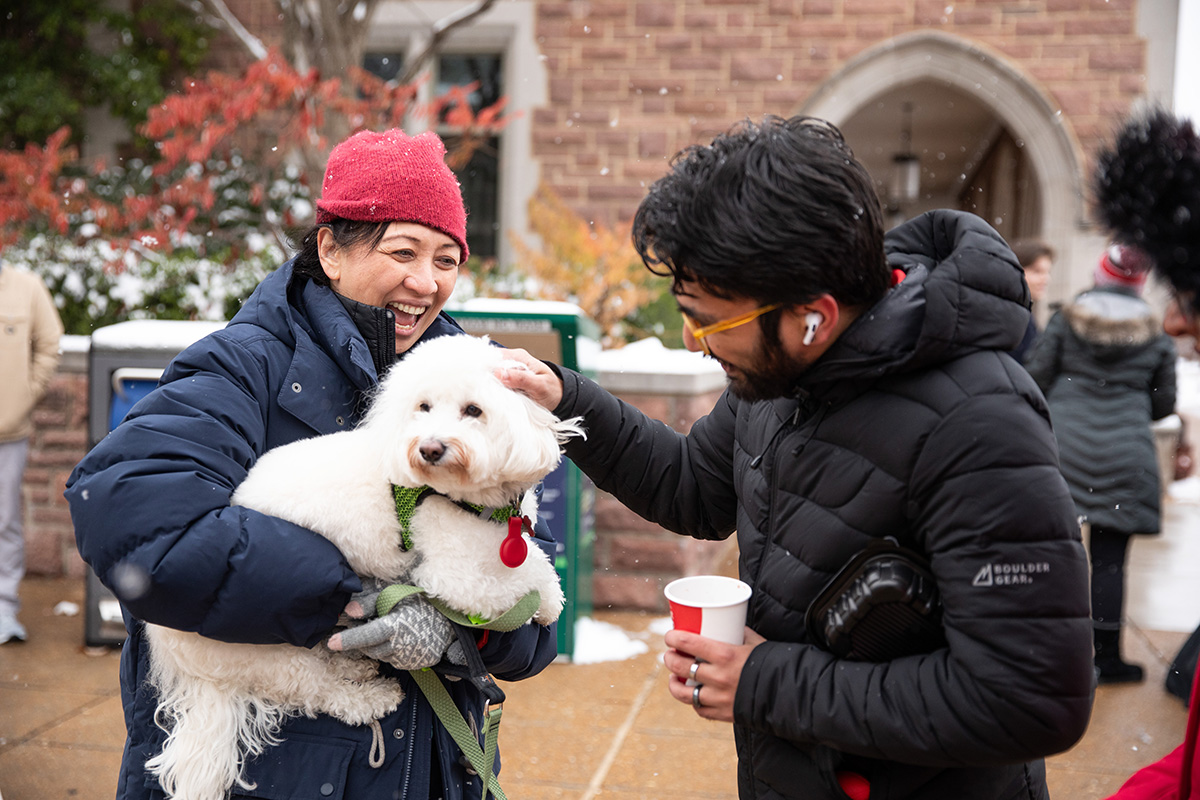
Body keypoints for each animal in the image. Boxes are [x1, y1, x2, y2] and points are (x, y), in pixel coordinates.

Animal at [142, 335, 583, 800]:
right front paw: (545, 603)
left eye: (473, 410)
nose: (429, 448)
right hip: (263, 649)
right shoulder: (452, 575)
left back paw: (355, 662)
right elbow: (511, 582)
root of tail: (169, 645)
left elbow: (533, 559)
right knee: (317, 689)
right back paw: (371, 697)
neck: (466, 498)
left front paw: (550, 594)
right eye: (423, 407)